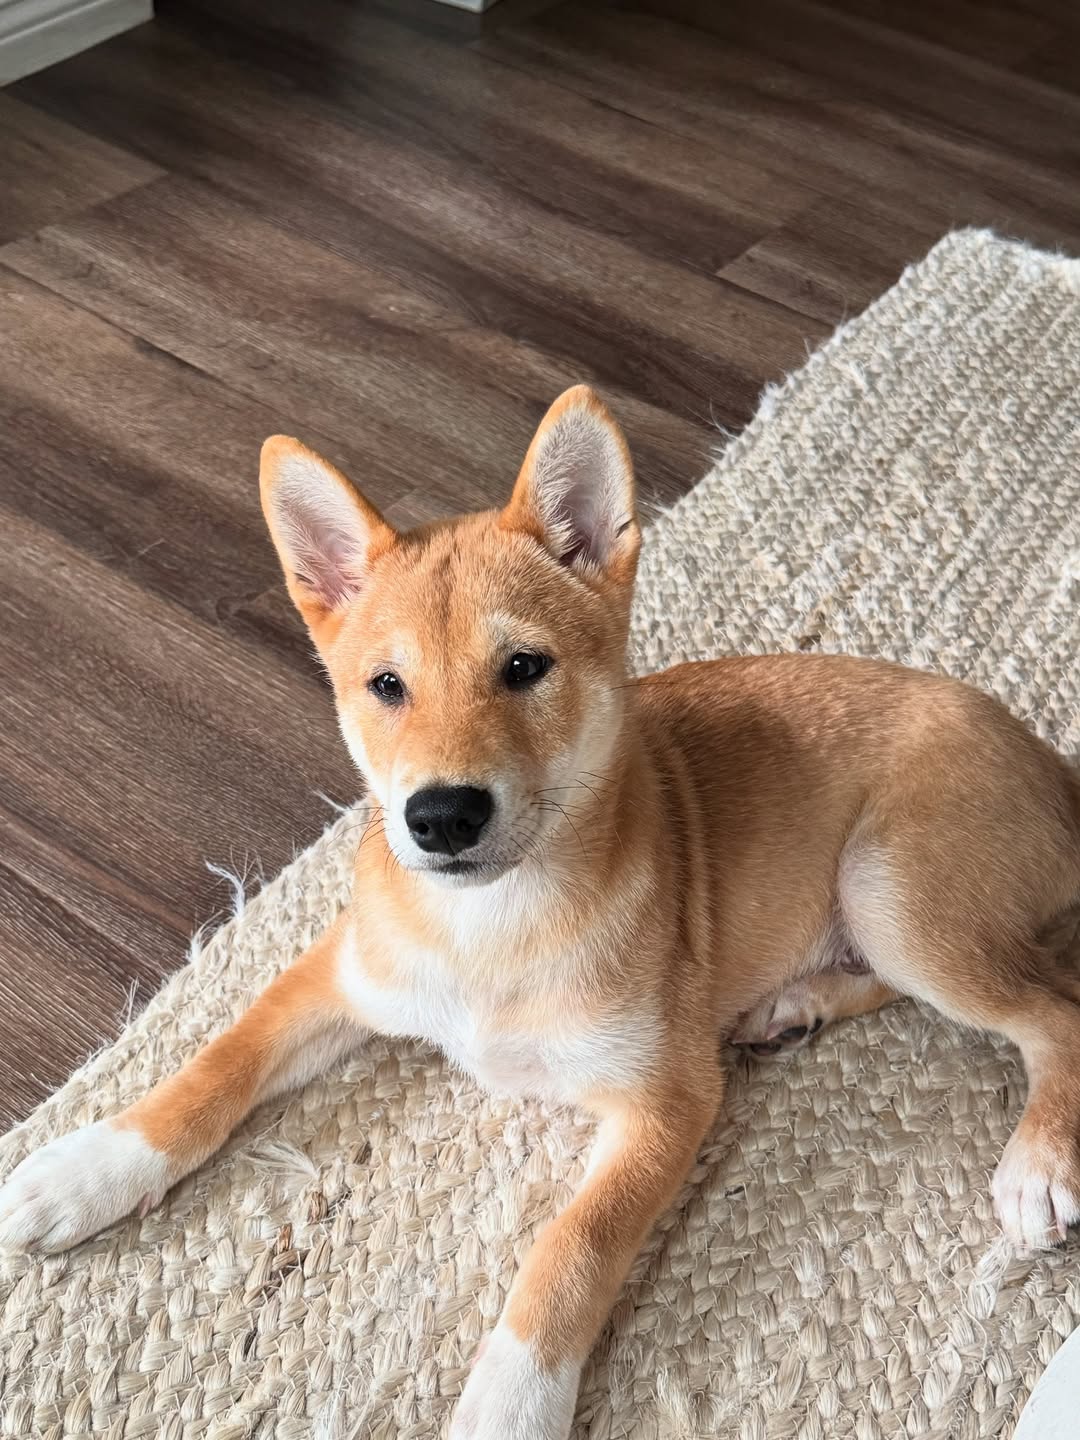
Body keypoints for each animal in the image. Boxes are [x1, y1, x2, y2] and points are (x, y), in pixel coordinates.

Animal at [3, 385, 1080, 1438]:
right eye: (385, 686)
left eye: (525, 668)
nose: (440, 816)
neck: (489, 925)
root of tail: (1048, 758)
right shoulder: (339, 971)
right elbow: (214, 1067)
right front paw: (89, 1169)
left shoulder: (664, 1103)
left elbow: (572, 1248)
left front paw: (514, 1401)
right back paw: (794, 1005)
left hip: (889, 886)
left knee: (1052, 1011)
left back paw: (1037, 1161)